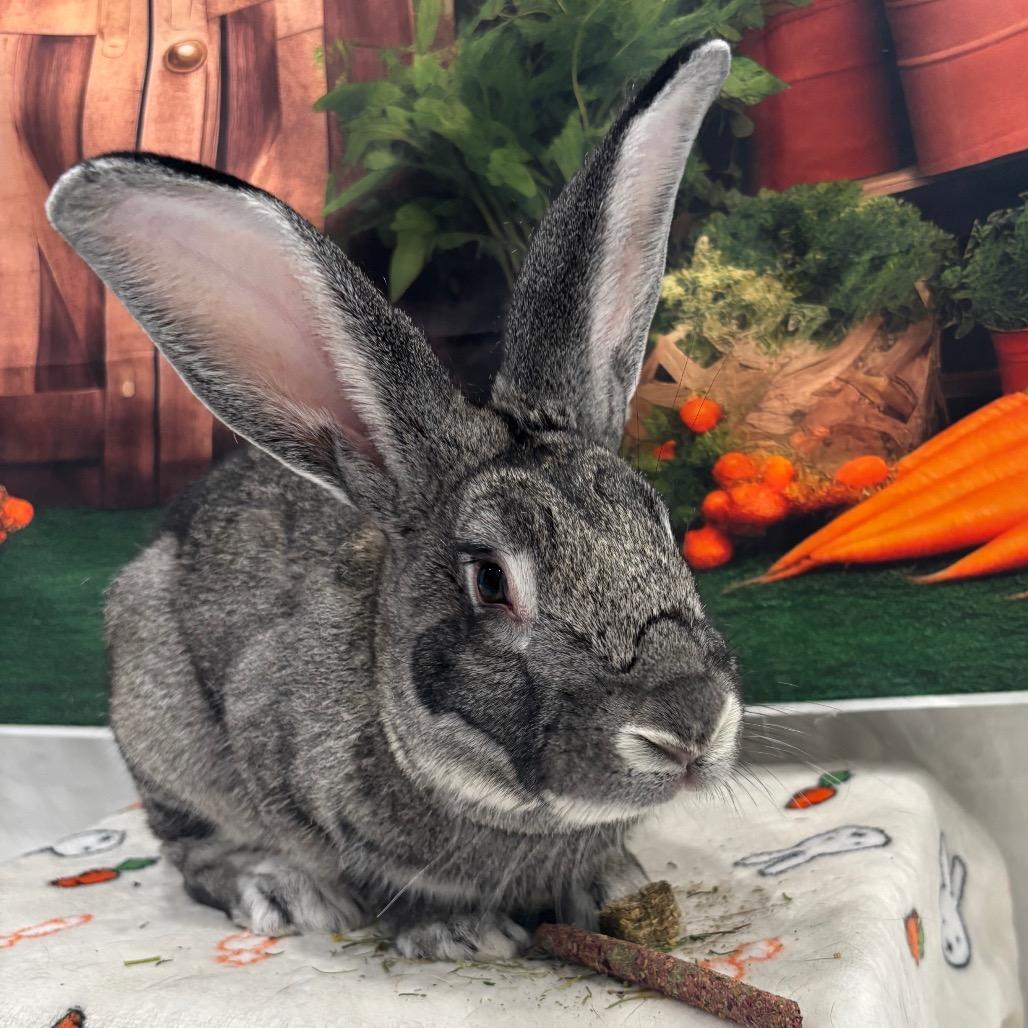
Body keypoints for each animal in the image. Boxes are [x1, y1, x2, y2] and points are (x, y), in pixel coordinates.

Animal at [44, 40, 741, 960]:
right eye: (490, 580)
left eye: (660, 525)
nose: (690, 724)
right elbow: (394, 885)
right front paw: (459, 934)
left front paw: (612, 888)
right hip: (164, 730)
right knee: (195, 849)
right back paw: (282, 890)